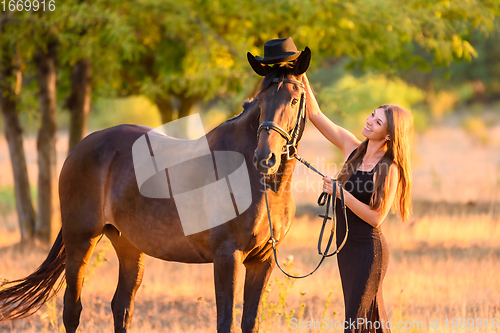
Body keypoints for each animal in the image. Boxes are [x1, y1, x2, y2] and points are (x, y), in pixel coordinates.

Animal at [0, 47, 312, 332]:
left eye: (294, 100)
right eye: (261, 100)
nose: (265, 158)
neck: (263, 185)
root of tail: (81, 147)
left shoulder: (262, 262)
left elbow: (251, 322)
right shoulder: (227, 256)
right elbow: (226, 321)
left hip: (128, 245)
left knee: (121, 306)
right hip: (81, 241)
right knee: (72, 309)